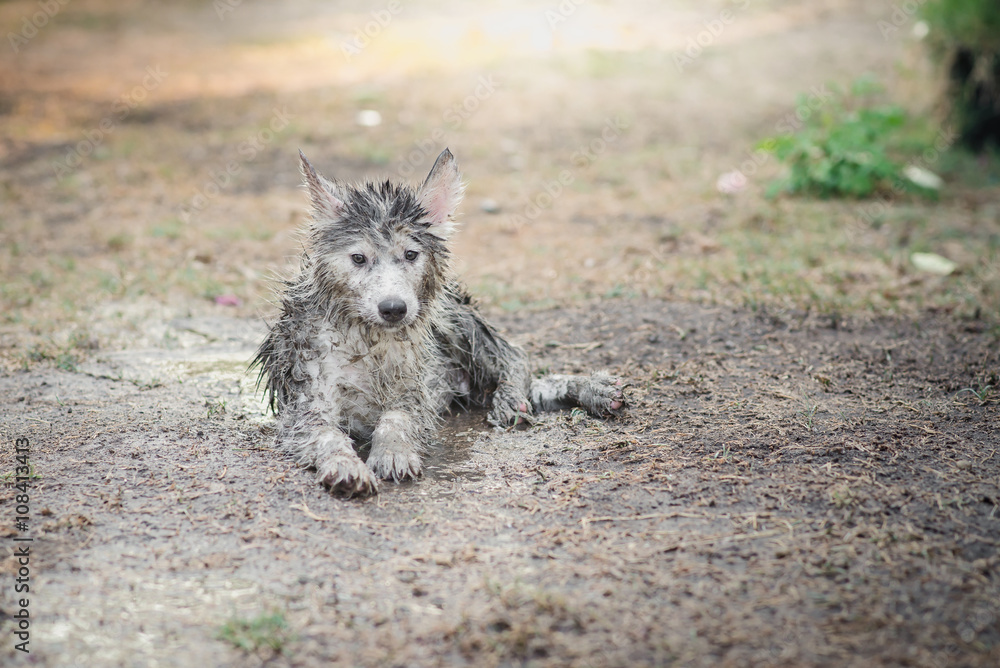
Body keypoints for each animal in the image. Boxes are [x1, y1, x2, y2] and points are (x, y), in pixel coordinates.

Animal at [252, 150, 624, 496]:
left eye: (411, 254)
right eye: (358, 258)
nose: (393, 308)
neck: (367, 339)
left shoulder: (415, 388)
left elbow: (395, 419)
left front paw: (393, 453)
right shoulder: (306, 399)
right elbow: (326, 434)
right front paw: (345, 466)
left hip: (457, 320)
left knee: (516, 357)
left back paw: (525, 395)